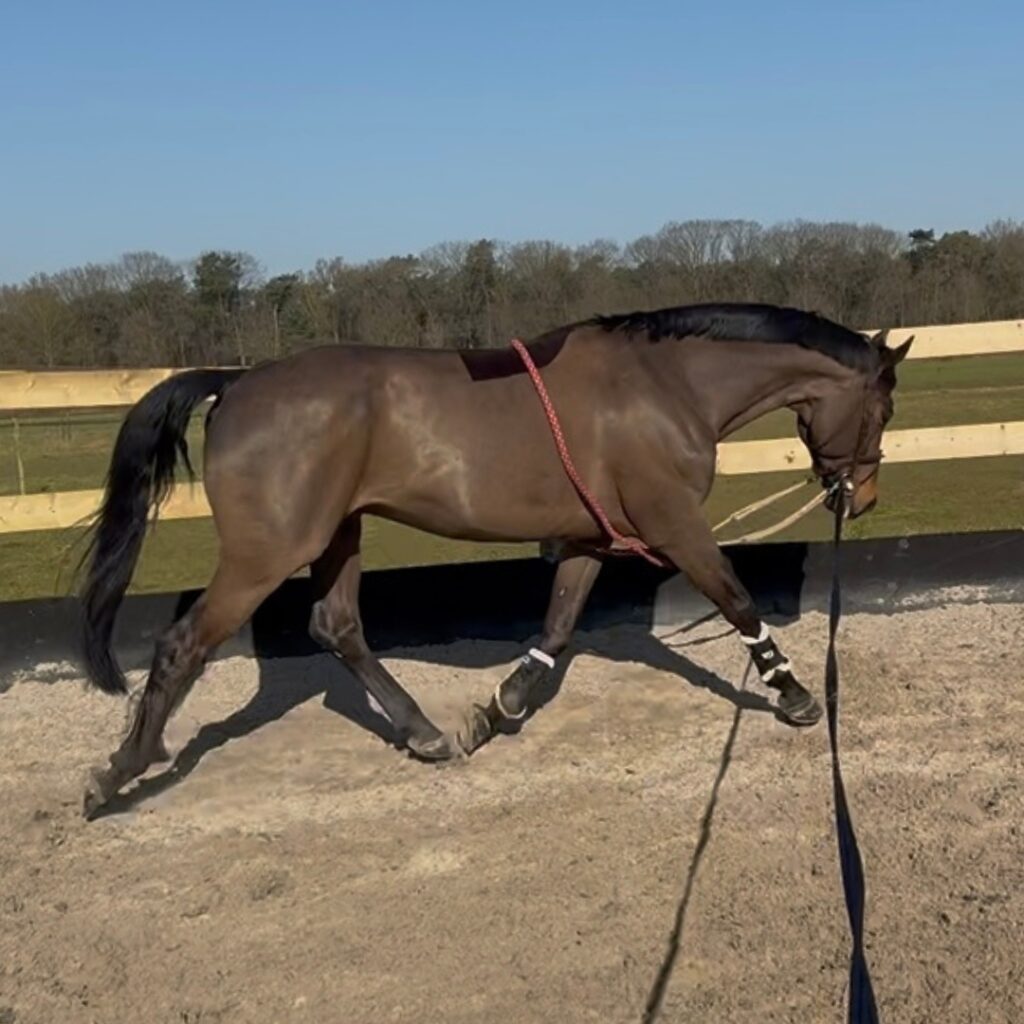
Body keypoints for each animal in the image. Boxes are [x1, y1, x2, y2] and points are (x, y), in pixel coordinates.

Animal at [78, 302, 912, 817]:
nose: (864, 495)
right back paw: (119, 772)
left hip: (338, 534)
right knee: (184, 645)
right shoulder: (673, 524)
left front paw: (499, 707)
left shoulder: (593, 539)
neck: (664, 384)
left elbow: (558, 628)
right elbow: (737, 602)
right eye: (885, 406)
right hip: (268, 553)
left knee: (336, 626)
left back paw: (424, 732)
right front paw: (796, 695)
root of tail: (239, 382)